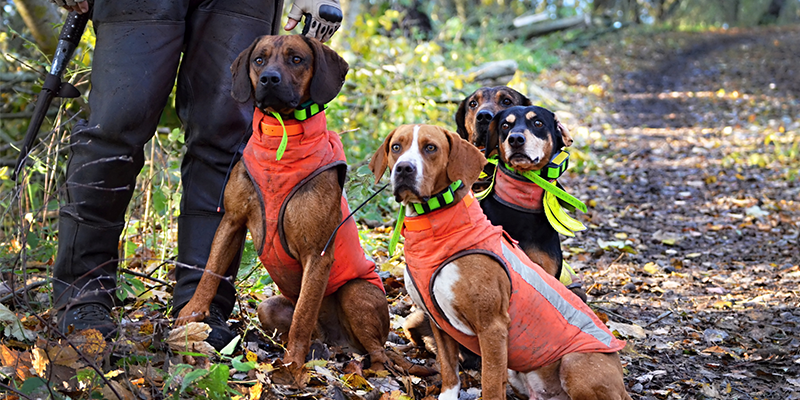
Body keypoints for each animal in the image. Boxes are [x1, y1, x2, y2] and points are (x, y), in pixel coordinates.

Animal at [173, 36, 392, 386]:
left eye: (297, 59)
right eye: (259, 60)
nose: (269, 79)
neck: (281, 137)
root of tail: (339, 343)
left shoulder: (318, 254)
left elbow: (303, 316)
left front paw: (291, 365)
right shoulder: (231, 221)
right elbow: (209, 272)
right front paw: (189, 318)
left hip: (356, 294)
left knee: (380, 353)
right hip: (270, 308)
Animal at [368, 123, 632, 398]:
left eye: (431, 147)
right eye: (396, 147)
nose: (404, 168)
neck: (436, 225)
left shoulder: (492, 327)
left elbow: (491, 382)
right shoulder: (438, 323)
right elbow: (449, 370)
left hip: (575, 363)